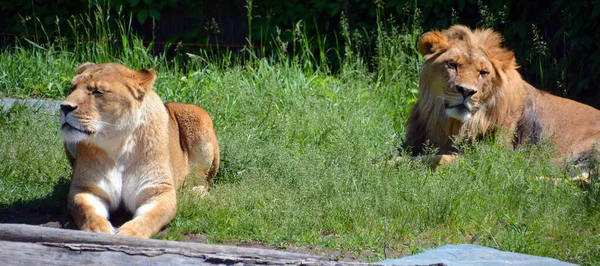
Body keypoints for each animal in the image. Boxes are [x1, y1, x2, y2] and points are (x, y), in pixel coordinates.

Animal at [60, 63, 220, 238]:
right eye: (72, 89)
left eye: (97, 92)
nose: (64, 107)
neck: (119, 144)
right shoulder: (88, 189)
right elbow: (86, 210)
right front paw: (98, 230)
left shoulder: (158, 190)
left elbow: (151, 217)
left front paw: (129, 233)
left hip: (197, 116)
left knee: (200, 181)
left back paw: (199, 193)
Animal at [400, 25, 600, 166]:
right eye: (452, 65)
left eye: (483, 73)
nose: (466, 91)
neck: (451, 125)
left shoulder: (494, 156)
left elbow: (434, 159)